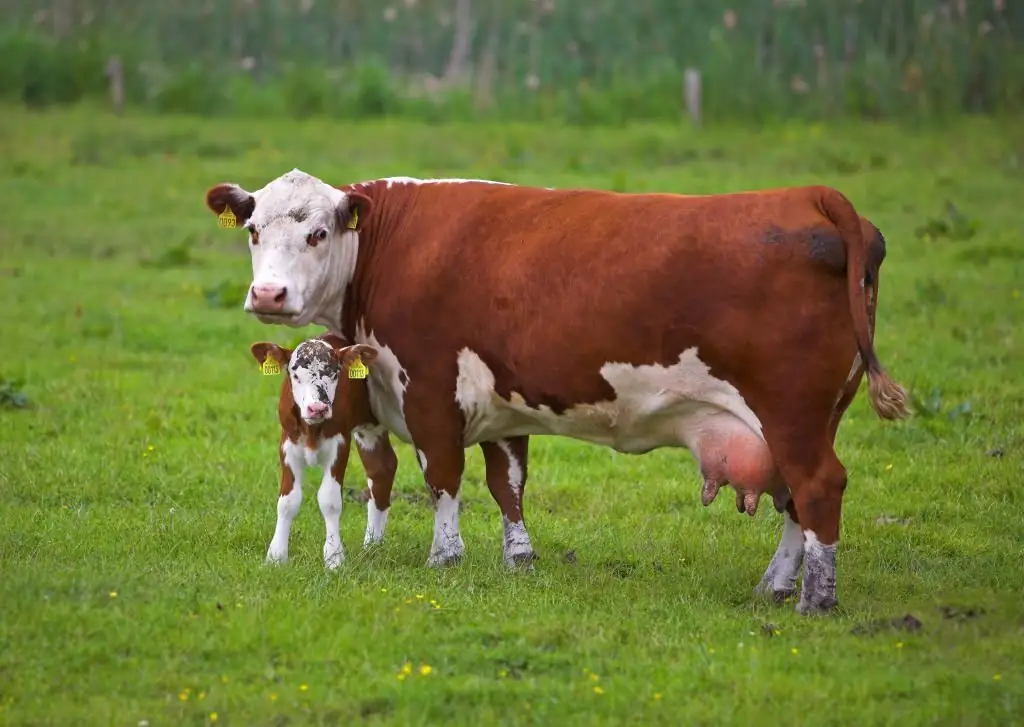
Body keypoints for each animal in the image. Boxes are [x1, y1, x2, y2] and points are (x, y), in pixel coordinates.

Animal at [249, 333, 397, 569]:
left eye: (335, 372)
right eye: (295, 374)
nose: (318, 408)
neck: (311, 429)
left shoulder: (340, 444)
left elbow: (330, 500)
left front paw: (334, 557)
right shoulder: (287, 444)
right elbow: (287, 502)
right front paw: (276, 556)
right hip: (370, 432)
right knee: (381, 469)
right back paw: (373, 545)